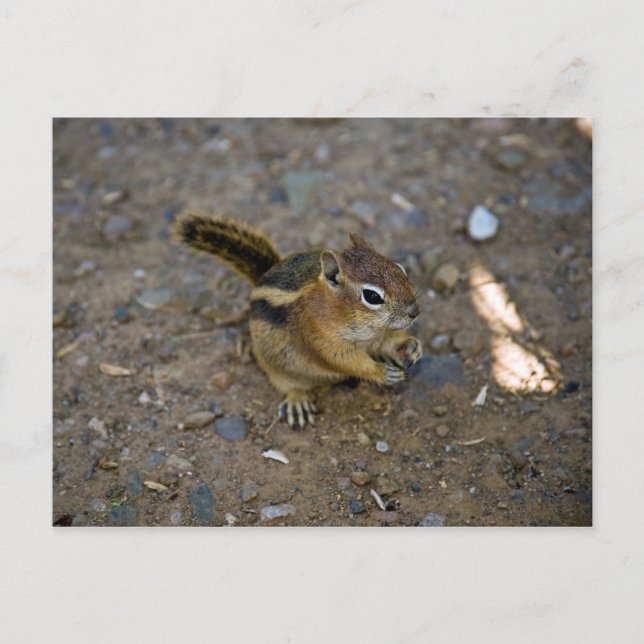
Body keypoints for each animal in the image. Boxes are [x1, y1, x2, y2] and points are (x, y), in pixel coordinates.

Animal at [174, 212, 423, 427]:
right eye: (372, 296)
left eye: (400, 268)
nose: (415, 311)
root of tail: (260, 280)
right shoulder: (322, 337)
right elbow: (346, 361)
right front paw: (382, 372)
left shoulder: (382, 334)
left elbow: (392, 343)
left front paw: (411, 347)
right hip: (275, 367)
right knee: (290, 386)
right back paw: (297, 400)